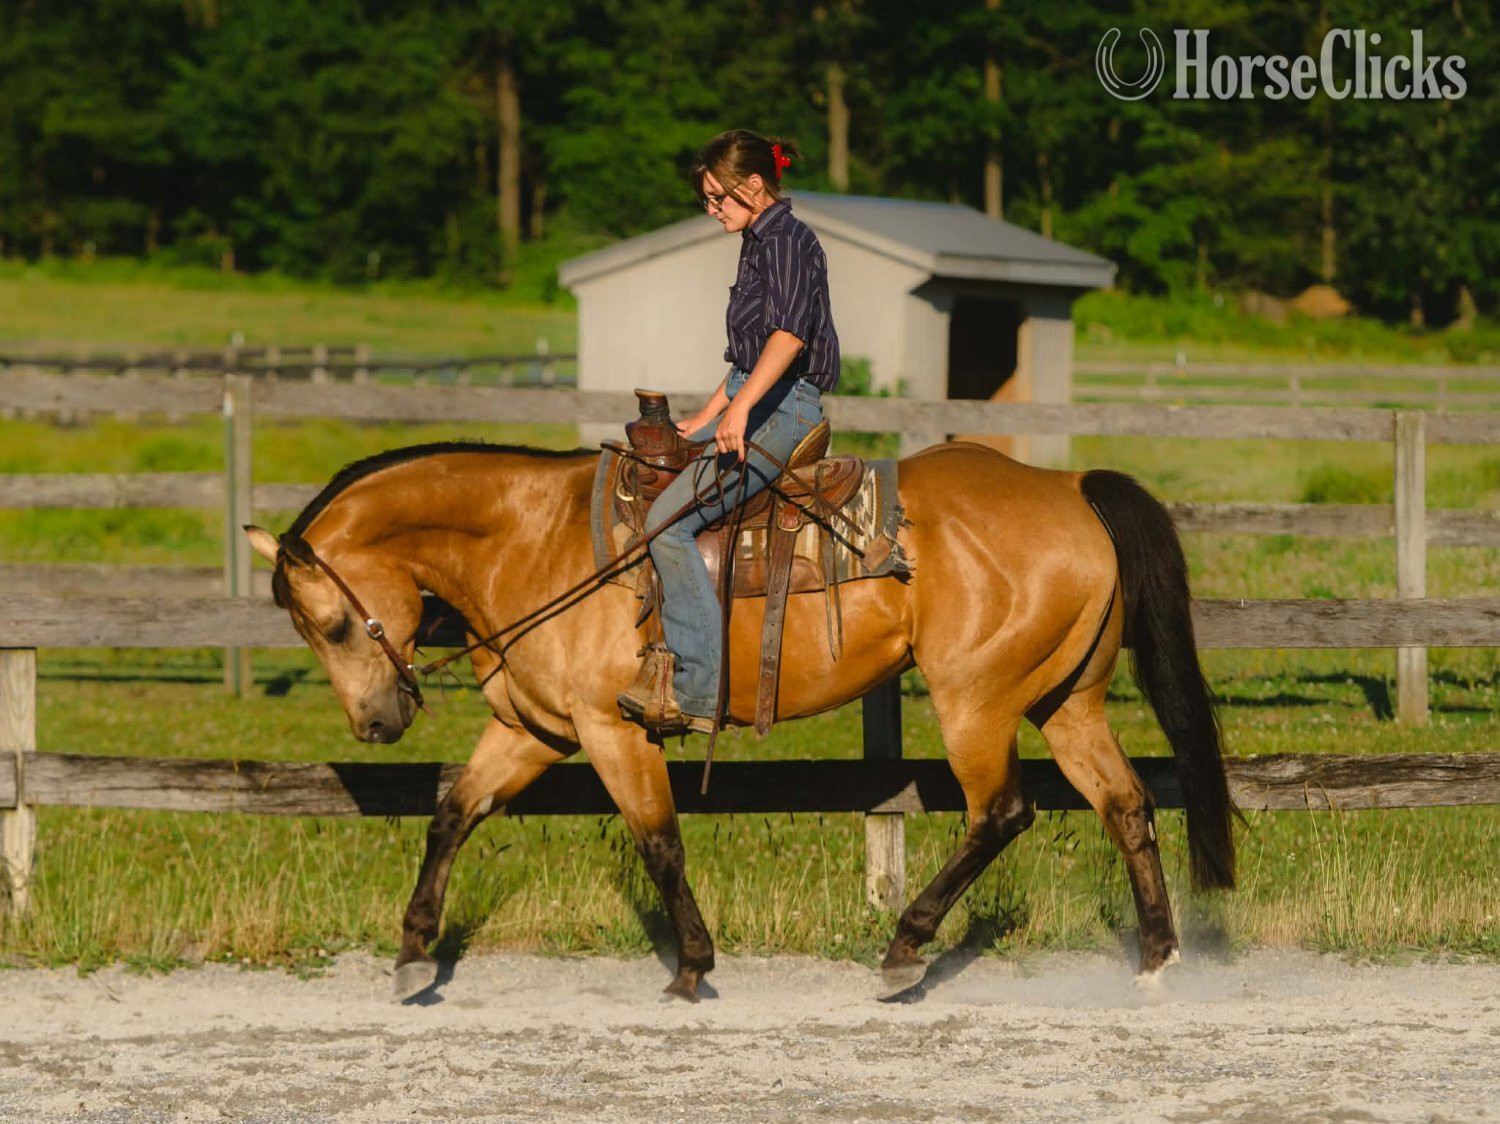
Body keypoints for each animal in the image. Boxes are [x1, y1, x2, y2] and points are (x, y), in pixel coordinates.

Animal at [245, 437, 1235, 1002]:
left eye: (334, 623)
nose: (376, 724)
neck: (535, 540)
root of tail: (1069, 487)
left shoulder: (613, 732)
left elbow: (658, 842)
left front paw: (692, 966)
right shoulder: (536, 730)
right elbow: (454, 811)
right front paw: (414, 952)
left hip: (977, 702)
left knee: (1002, 813)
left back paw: (905, 949)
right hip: (1068, 701)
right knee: (1126, 805)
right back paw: (1156, 956)